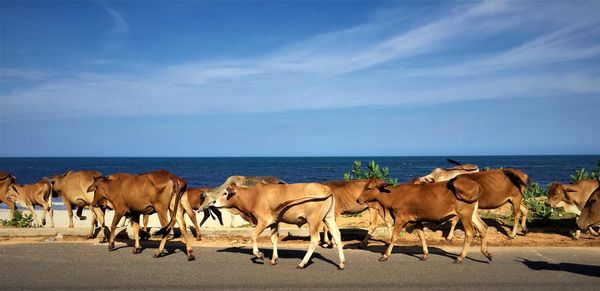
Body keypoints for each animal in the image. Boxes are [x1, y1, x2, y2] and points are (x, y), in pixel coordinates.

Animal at [212, 184, 344, 270]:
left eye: (225, 193)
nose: (213, 203)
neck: (254, 196)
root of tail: (326, 188)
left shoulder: (264, 221)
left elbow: (253, 235)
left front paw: (259, 254)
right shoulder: (274, 222)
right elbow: (274, 239)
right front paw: (274, 259)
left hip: (313, 220)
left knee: (315, 239)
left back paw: (302, 263)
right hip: (328, 217)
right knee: (337, 235)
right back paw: (341, 263)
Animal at [356, 178, 488, 264]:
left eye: (369, 188)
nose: (358, 199)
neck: (393, 195)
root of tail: (475, 184)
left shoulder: (400, 218)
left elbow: (393, 237)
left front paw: (385, 255)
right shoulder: (416, 220)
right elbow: (421, 236)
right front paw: (425, 254)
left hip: (464, 214)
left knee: (470, 232)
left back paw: (460, 257)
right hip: (473, 213)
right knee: (483, 227)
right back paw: (486, 253)